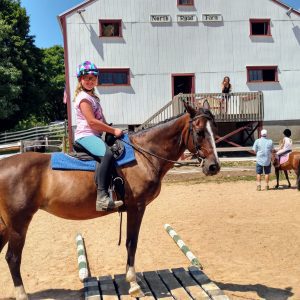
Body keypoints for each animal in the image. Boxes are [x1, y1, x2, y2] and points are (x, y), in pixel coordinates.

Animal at [0, 102, 220, 298]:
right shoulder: (137, 208)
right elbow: (132, 243)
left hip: (6, 225)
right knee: (13, 258)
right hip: (19, 224)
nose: (214, 166)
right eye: (200, 132)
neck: (143, 156)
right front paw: (133, 284)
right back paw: (22, 295)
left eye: (215, 130)